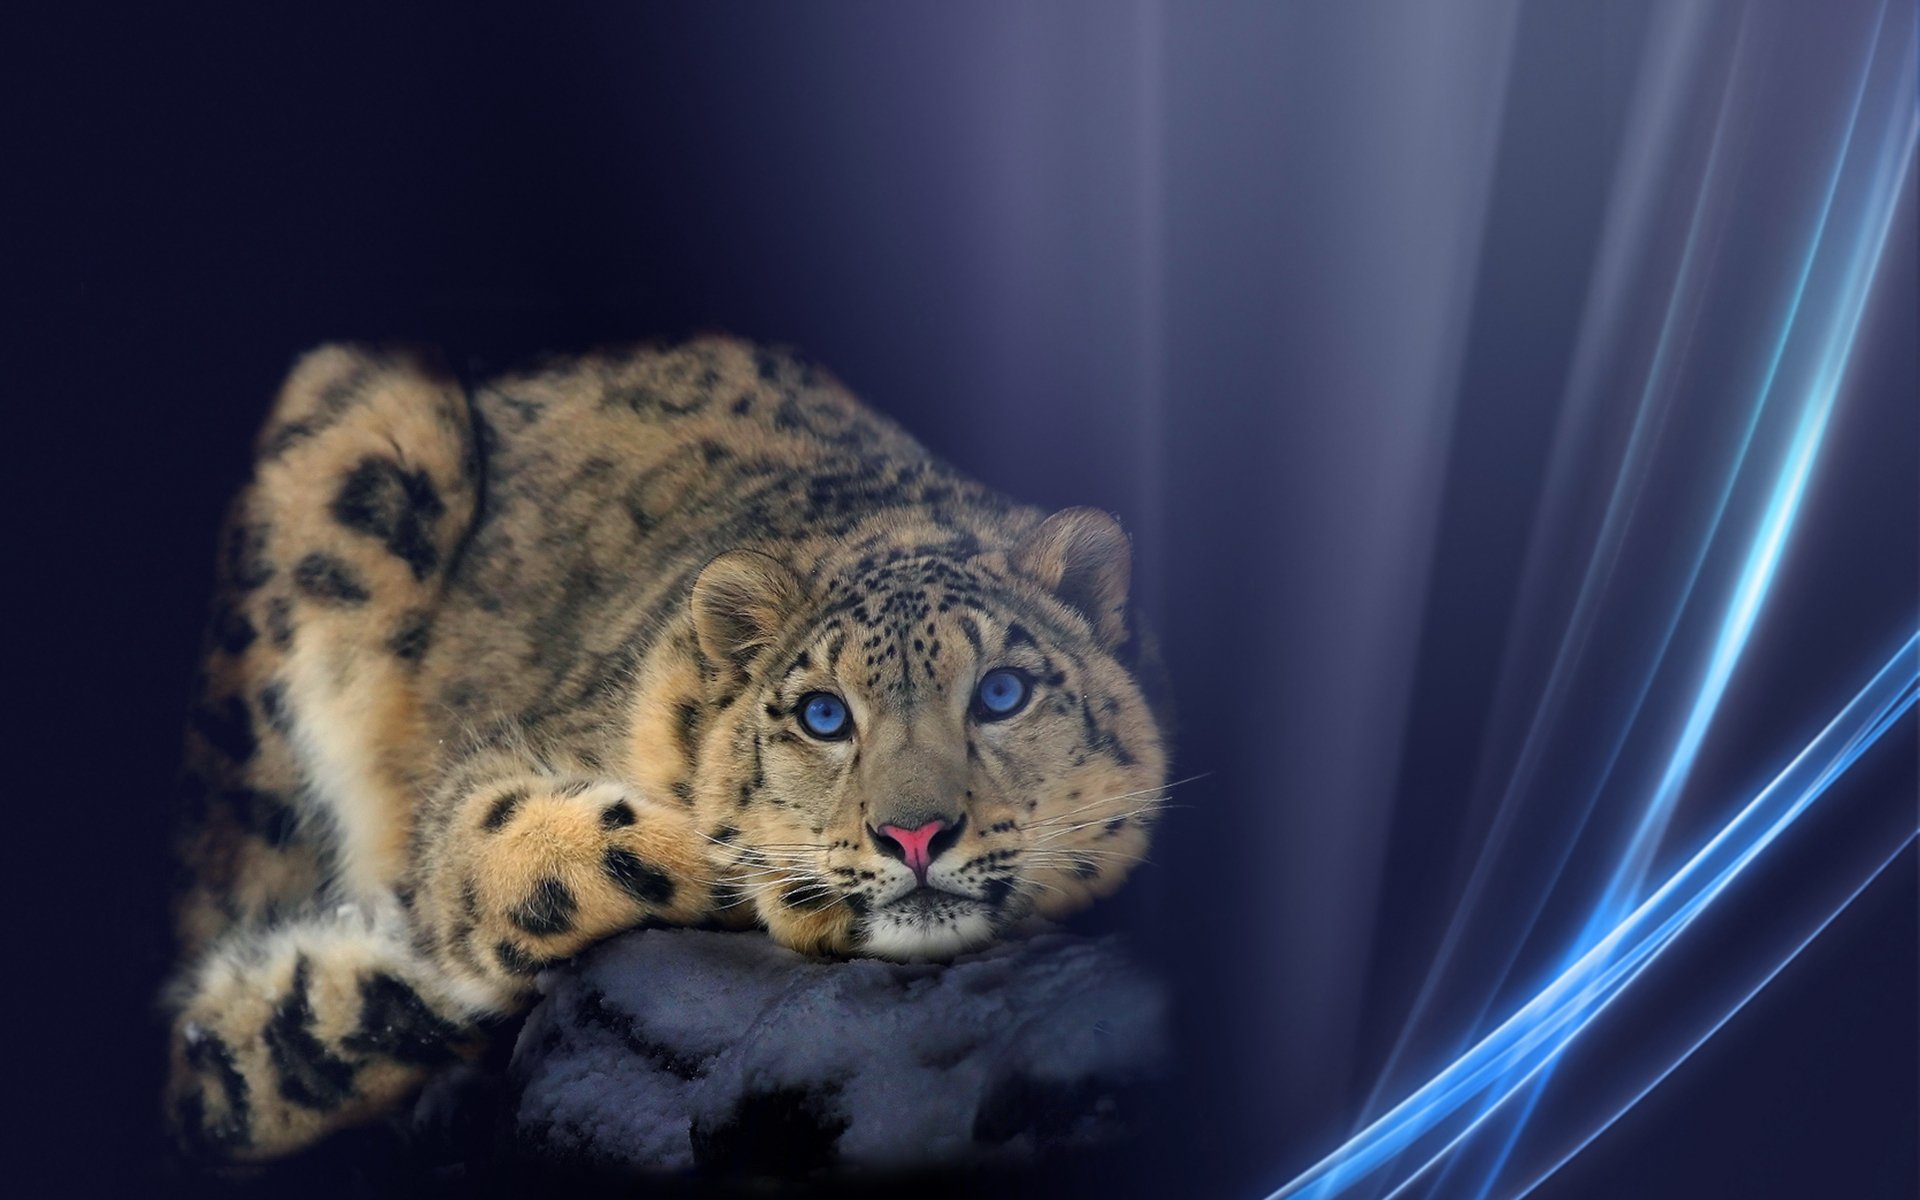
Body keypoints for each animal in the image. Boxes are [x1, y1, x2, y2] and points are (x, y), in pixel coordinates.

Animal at [163, 335, 1169, 1161]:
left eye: (1002, 692)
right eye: (824, 716)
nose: (913, 835)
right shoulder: (492, 767)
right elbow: (504, 854)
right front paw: (738, 866)